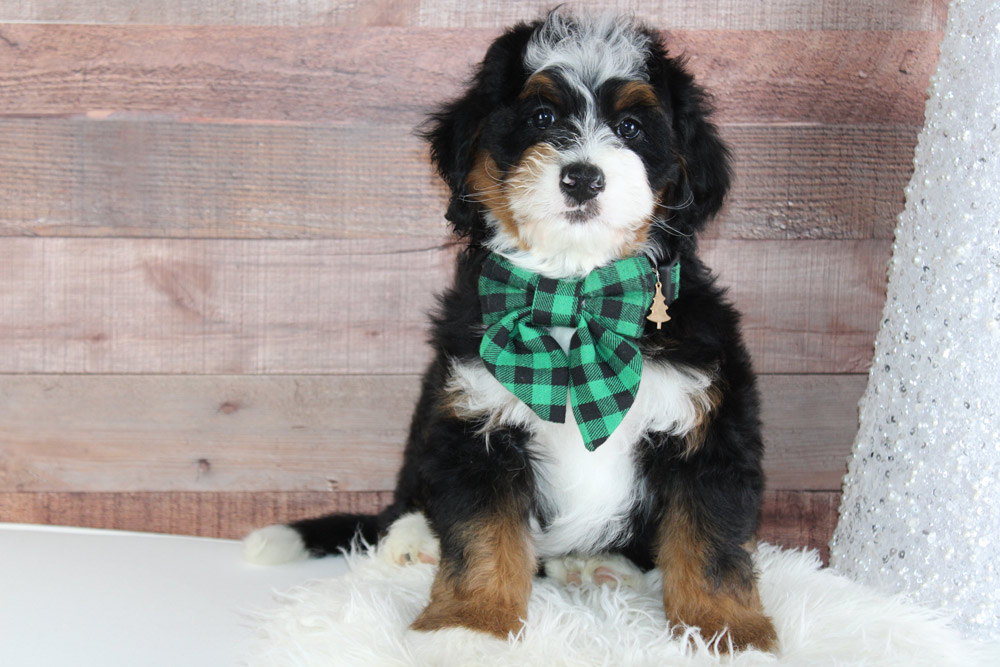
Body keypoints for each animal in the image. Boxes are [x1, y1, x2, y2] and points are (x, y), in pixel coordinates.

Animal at [244, 10, 778, 653]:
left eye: (630, 126)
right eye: (542, 118)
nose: (582, 177)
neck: (571, 295)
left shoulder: (708, 424)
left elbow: (712, 543)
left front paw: (726, 634)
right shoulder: (477, 421)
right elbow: (481, 536)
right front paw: (470, 627)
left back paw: (599, 565)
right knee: (410, 498)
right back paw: (413, 540)